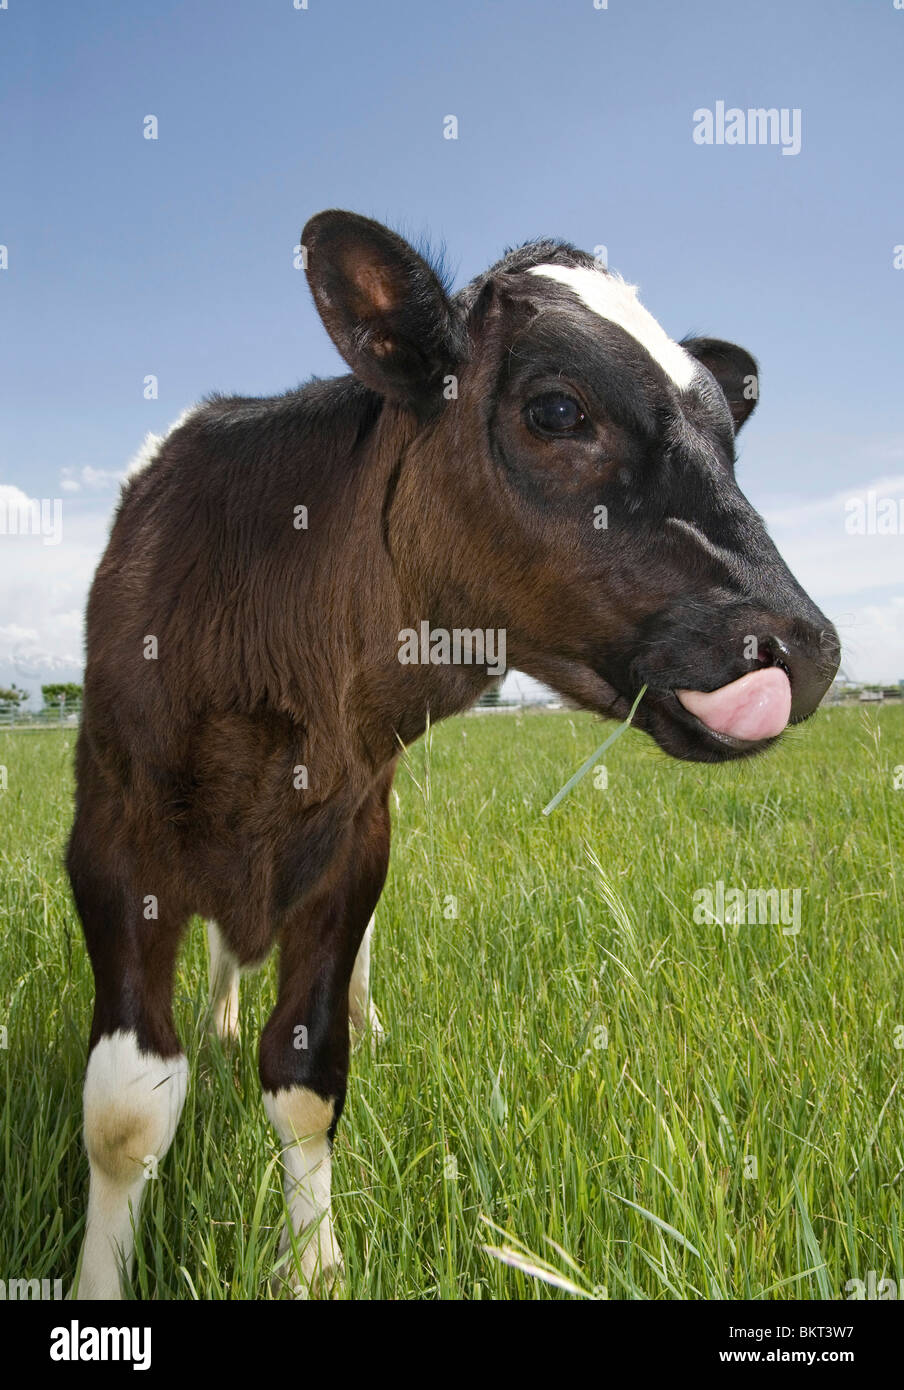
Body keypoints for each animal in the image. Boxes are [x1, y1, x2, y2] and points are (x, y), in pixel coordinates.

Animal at [66, 211, 834, 1295]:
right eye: (556, 408)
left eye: (727, 432)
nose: (801, 646)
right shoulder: (109, 838)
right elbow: (127, 1114)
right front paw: (98, 1281)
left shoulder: (354, 838)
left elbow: (307, 1073)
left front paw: (317, 1264)